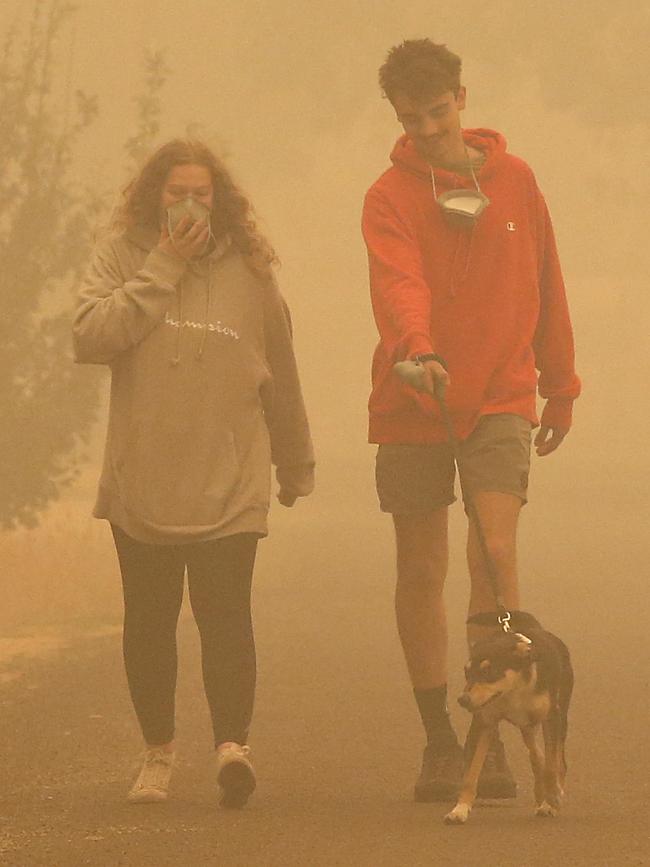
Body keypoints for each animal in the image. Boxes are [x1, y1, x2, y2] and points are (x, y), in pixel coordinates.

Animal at [440, 612, 572, 828]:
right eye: (467, 673)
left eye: (489, 672)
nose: (463, 700)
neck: (514, 691)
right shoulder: (484, 722)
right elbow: (470, 774)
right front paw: (459, 810)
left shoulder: (552, 717)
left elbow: (552, 766)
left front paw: (553, 799)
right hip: (526, 725)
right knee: (536, 755)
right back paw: (540, 791)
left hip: (559, 717)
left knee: (558, 760)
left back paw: (552, 794)